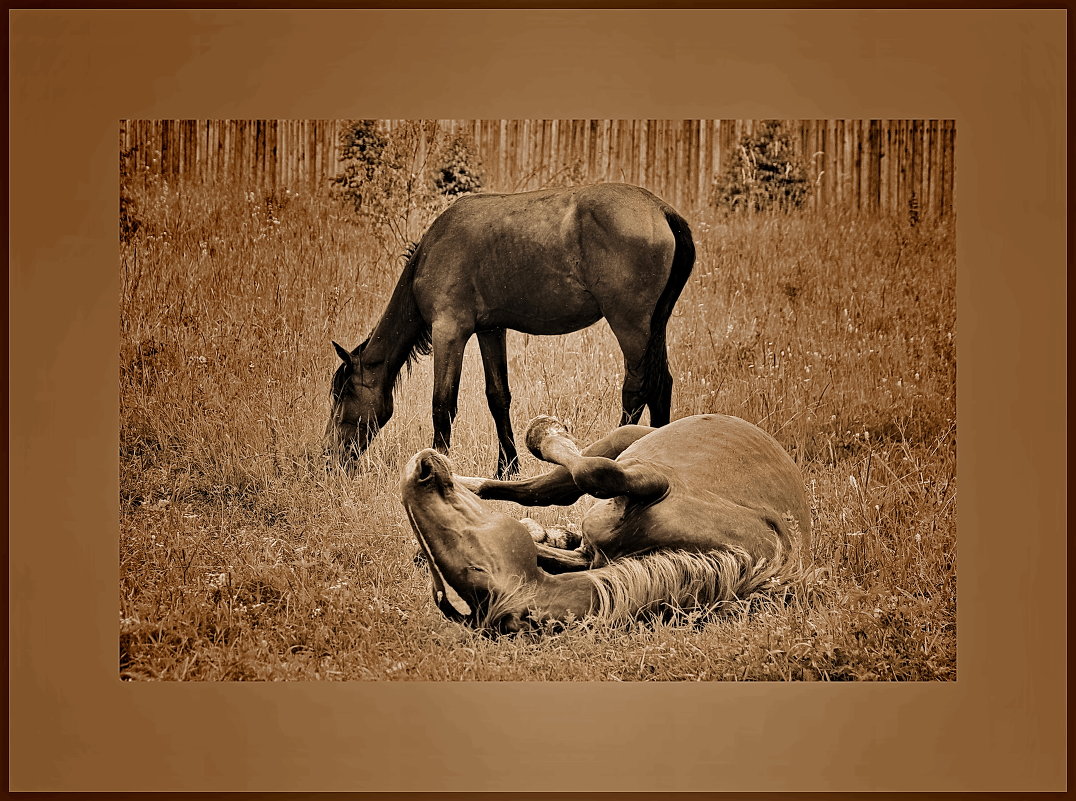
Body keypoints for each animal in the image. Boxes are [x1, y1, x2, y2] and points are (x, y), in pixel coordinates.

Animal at [327, 183, 697, 475]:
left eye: (343, 395)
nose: (329, 460)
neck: (433, 250)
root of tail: (661, 210)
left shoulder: (449, 331)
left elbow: (442, 405)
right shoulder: (491, 330)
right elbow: (498, 397)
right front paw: (507, 467)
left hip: (630, 324)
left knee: (636, 389)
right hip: (655, 326)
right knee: (661, 385)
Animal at [400, 413, 809, 633]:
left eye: (475, 569)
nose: (418, 475)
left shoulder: (650, 478)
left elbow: (591, 473)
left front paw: (544, 432)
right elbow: (586, 478)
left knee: (552, 485)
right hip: (621, 443)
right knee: (543, 489)